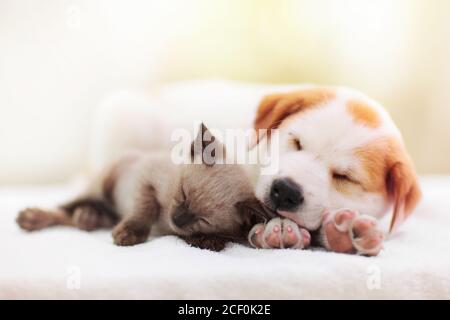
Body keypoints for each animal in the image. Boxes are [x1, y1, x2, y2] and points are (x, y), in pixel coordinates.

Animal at [16, 124, 282, 251]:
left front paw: (208, 241)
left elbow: (191, 235)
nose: (177, 218)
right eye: (182, 193)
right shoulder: (145, 180)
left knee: (85, 216)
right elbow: (145, 209)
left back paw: (89, 217)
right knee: (66, 207)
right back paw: (36, 217)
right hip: (100, 185)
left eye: (204, 219)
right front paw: (130, 233)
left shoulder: (179, 228)